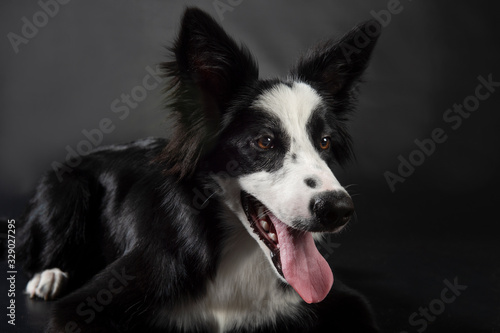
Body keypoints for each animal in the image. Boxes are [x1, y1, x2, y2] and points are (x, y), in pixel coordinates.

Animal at [17, 7, 380, 332]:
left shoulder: (349, 303)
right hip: (67, 187)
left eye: (324, 142)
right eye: (264, 142)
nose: (337, 209)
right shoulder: (84, 305)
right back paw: (49, 275)